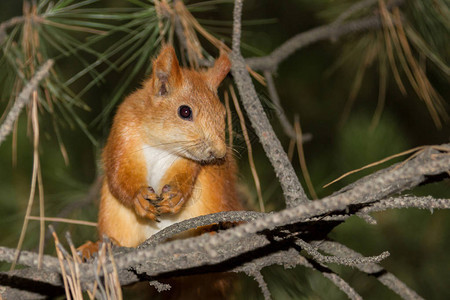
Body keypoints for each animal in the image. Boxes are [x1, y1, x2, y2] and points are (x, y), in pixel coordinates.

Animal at [80, 45, 243, 268]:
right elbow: (117, 176)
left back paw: (213, 232)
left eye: (222, 113)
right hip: (113, 215)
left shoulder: (187, 163)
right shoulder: (123, 134)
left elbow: (186, 176)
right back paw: (96, 247)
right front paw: (139, 198)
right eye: (185, 111)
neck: (163, 147)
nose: (219, 153)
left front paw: (176, 196)